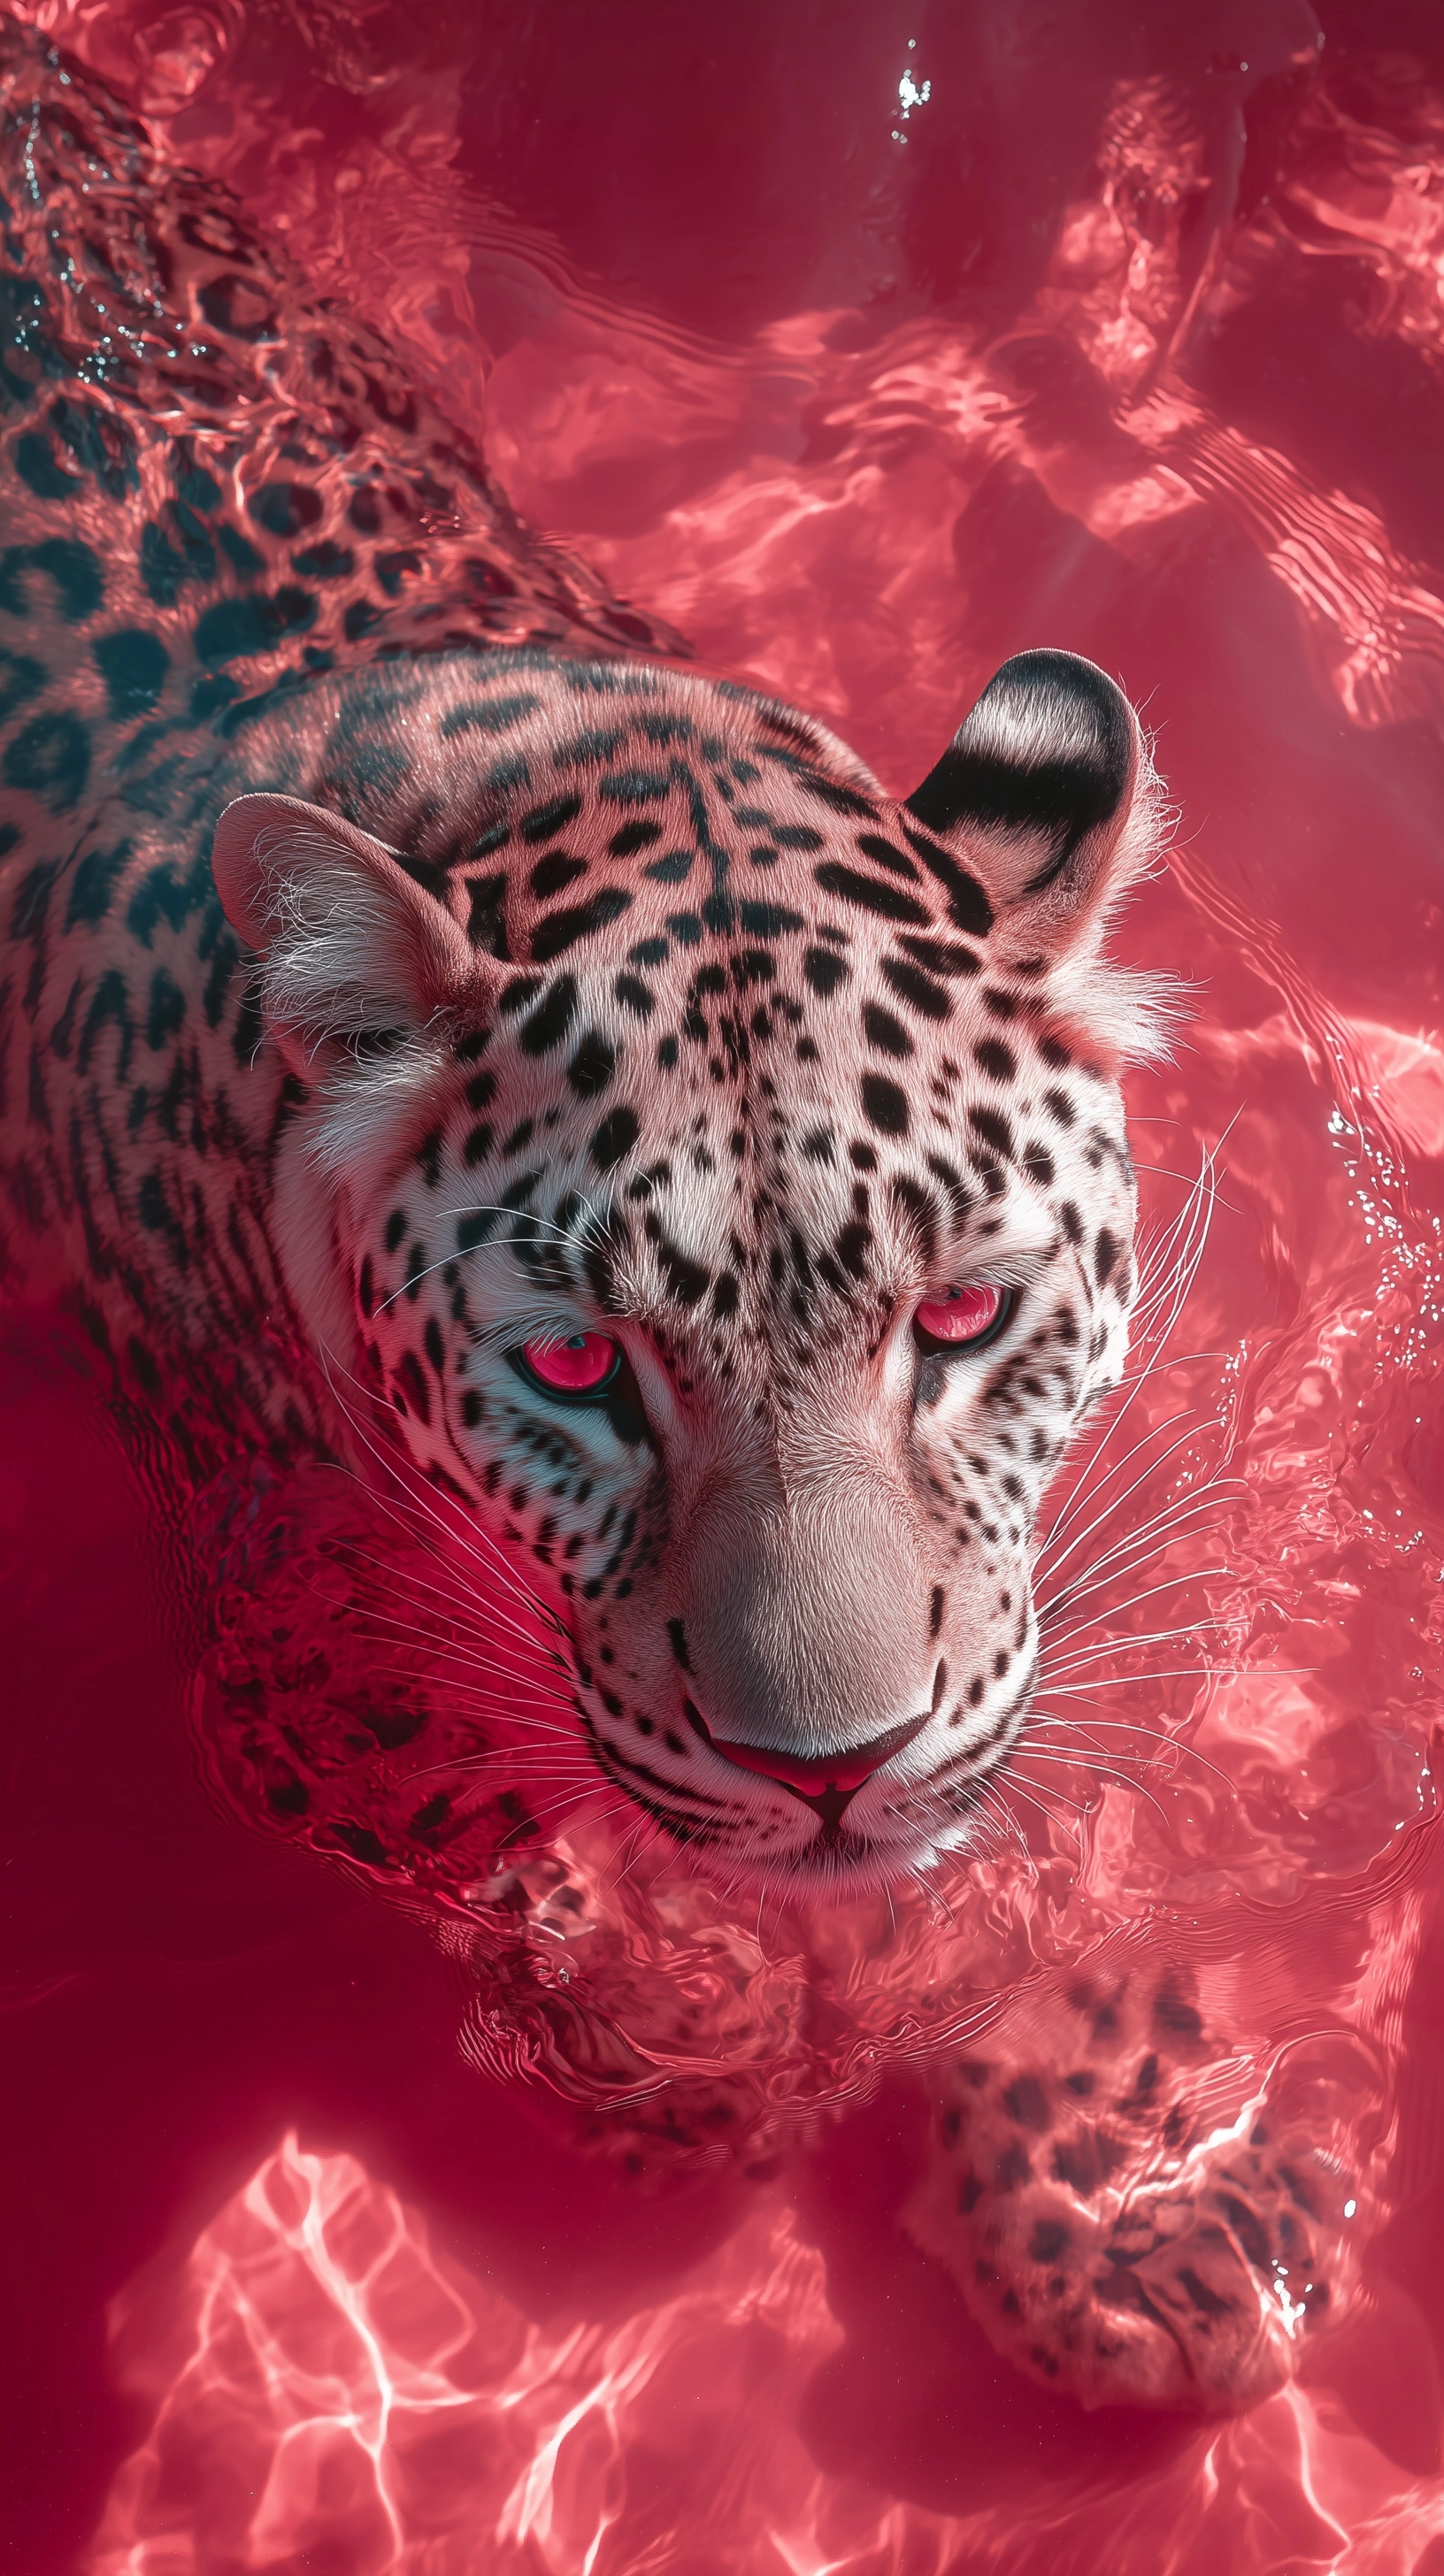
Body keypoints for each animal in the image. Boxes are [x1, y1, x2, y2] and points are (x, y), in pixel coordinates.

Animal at [0, 19, 1371, 2419]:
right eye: (574, 1369)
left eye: (964, 1319)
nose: (824, 1765)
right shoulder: (298, 1690)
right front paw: (699, 2058)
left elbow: (980, 1796)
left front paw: (1131, 2156)